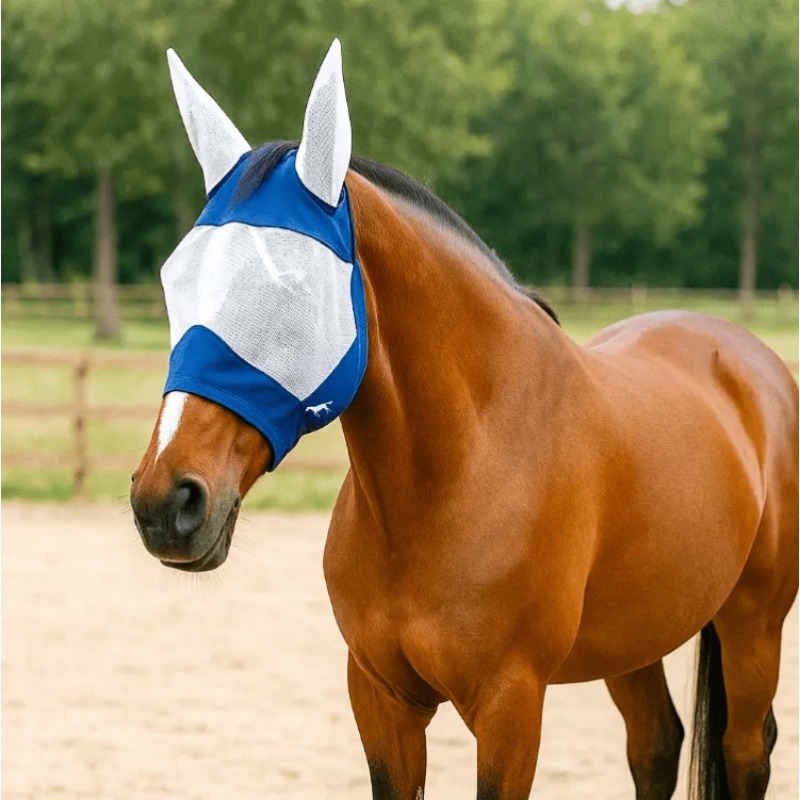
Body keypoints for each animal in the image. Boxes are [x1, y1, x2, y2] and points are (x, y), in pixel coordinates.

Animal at [130, 41, 798, 799]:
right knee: (656, 743)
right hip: (637, 637)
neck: (456, 472)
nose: (166, 503)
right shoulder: (381, 699)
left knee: (745, 752)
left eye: (290, 288)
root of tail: (747, 357)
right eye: (173, 278)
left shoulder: (511, 707)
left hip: (753, 624)